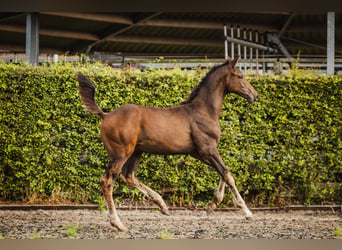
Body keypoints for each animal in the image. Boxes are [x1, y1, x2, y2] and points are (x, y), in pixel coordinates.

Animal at [77, 57, 258, 231]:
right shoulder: (208, 149)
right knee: (107, 181)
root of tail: (106, 115)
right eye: (240, 76)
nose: (254, 96)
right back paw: (118, 223)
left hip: (136, 152)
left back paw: (162, 205)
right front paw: (247, 212)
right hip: (120, 154)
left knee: (129, 176)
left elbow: (223, 172)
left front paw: (212, 205)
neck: (203, 111)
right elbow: (227, 174)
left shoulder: (199, 152)